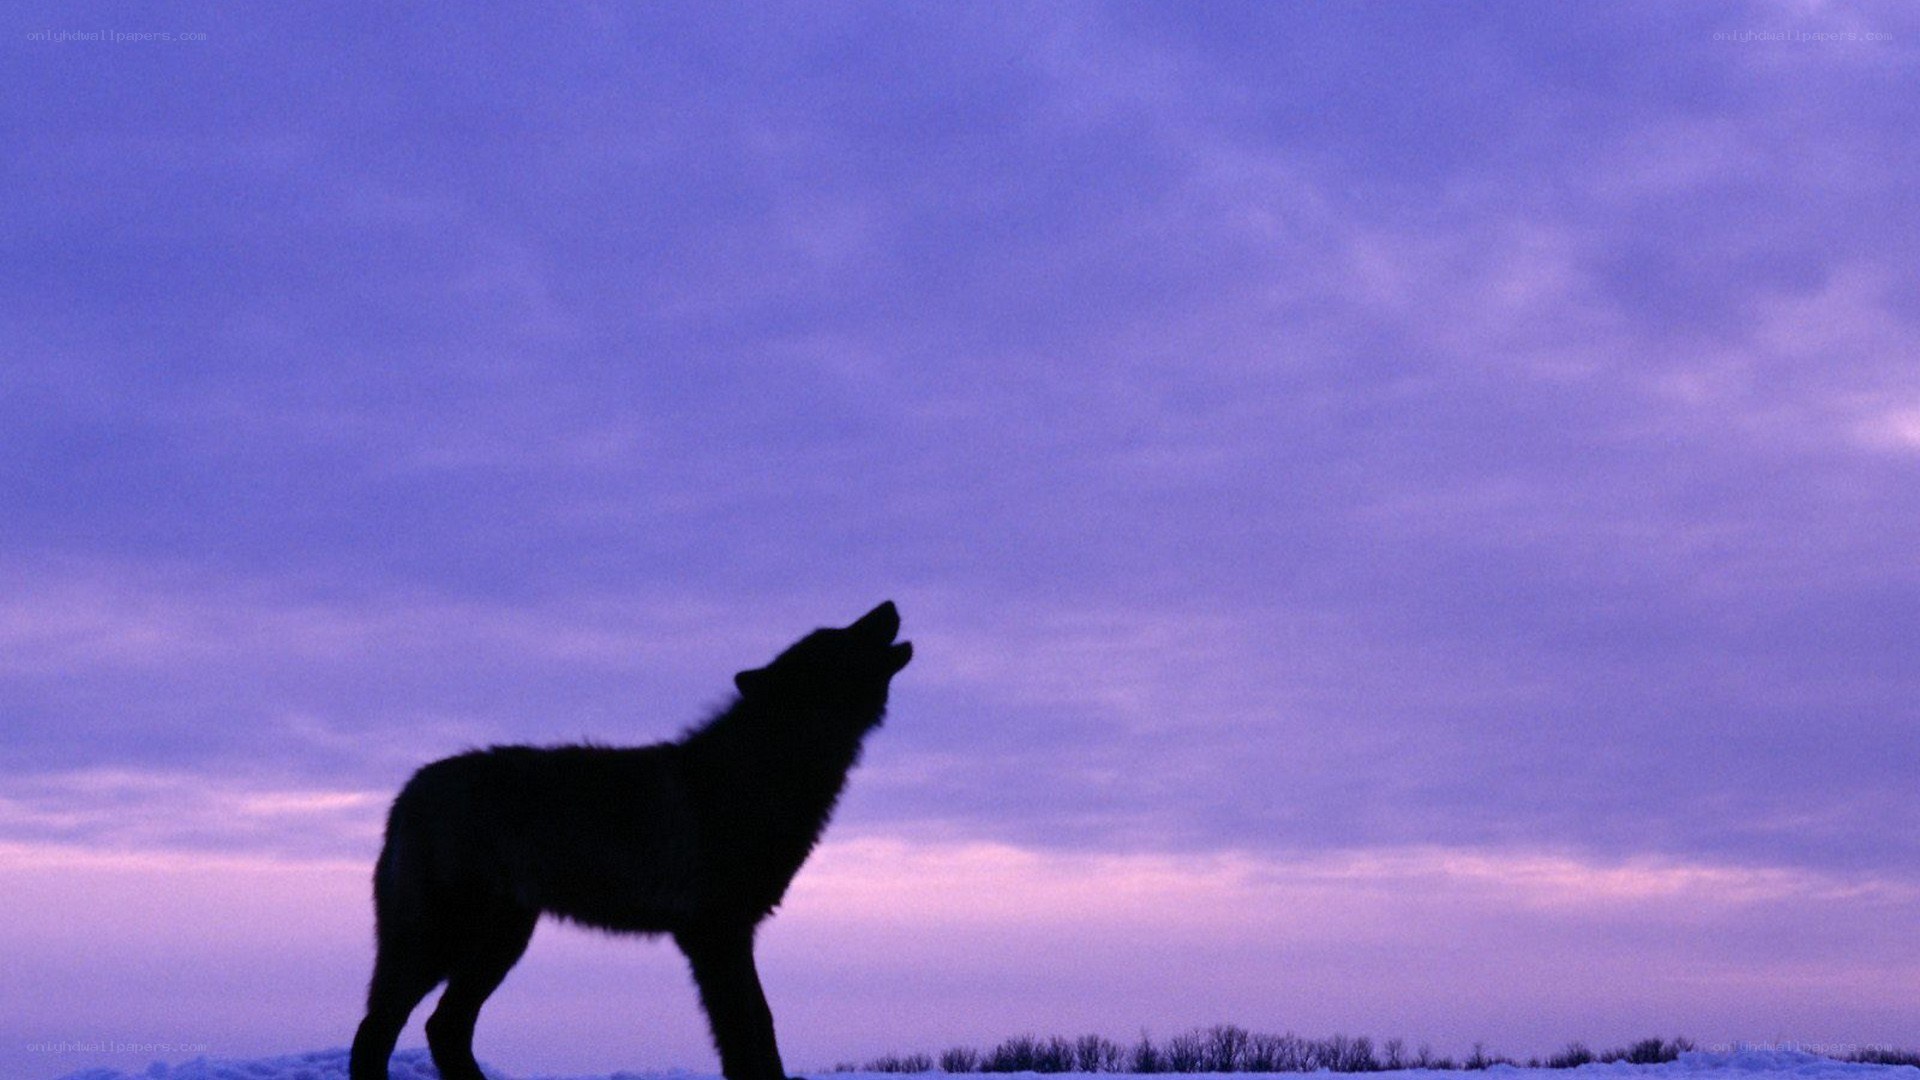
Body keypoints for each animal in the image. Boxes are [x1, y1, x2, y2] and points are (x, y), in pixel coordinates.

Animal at [348, 601, 913, 1080]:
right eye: (839, 636)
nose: (888, 605)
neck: (763, 774)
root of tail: (409, 789)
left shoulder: (735, 934)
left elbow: (764, 1027)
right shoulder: (715, 936)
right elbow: (745, 1035)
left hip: (501, 943)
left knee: (443, 1028)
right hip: (443, 942)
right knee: (376, 1032)